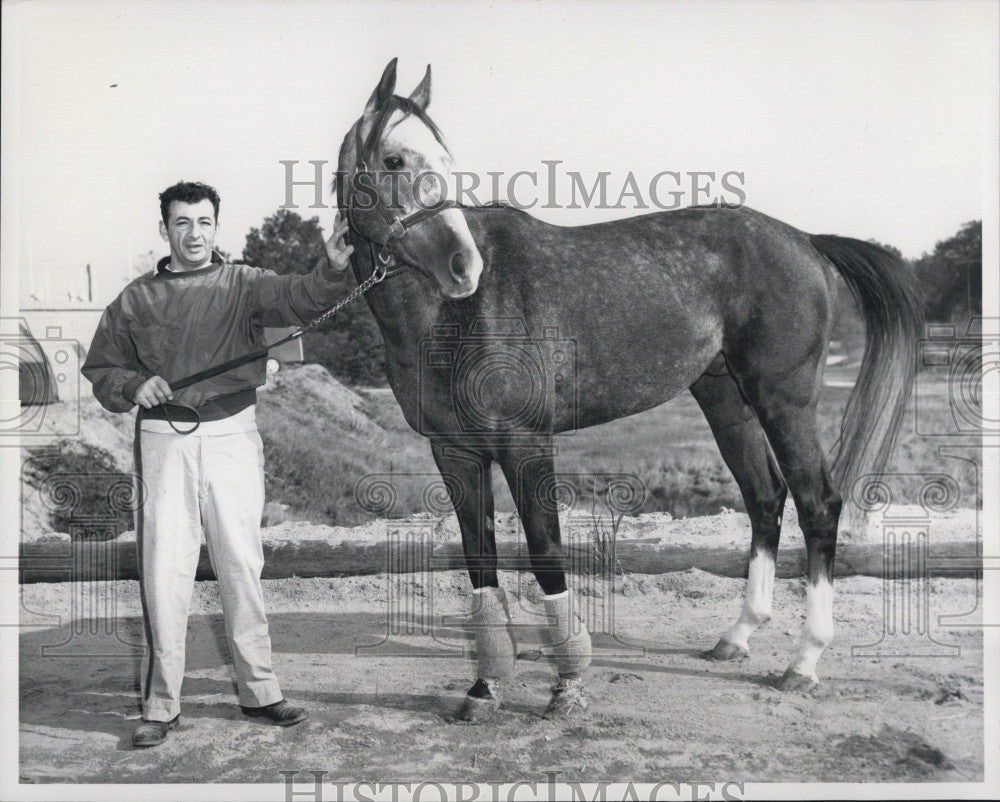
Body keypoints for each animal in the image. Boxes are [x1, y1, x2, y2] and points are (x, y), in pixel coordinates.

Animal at [334, 59, 920, 716]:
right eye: (393, 160)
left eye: (444, 158)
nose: (464, 266)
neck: (451, 315)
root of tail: (806, 240)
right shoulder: (454, 451)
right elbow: (480, 561)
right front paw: (484, 688)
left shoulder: (525, 443)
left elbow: (545, 551)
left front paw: (567, 685)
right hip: (728, 402)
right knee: (765, 498)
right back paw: (738, 636)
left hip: (783, 401)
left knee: (817, 501)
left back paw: (805, 660)